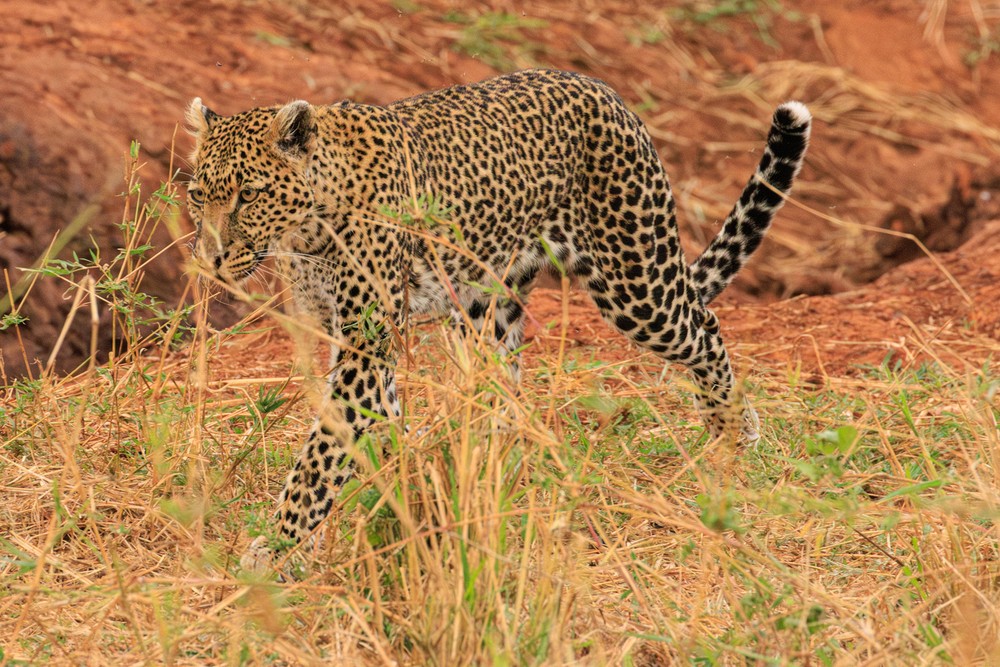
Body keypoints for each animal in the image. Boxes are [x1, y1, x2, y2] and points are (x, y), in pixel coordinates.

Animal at [184, 69, 811, 570]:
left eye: (249, 194)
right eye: (196, 195)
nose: (210, 257)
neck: (307, 231)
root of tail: (608, 92)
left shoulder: (366, 342)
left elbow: (320, 456)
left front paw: (275, 547)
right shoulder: (347, 337)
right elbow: (370, 431)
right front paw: (401, 487)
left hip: (634, 280)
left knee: (703, 324)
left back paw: (733, 431)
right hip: (488, 307)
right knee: (502, 396)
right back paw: (484, 472)